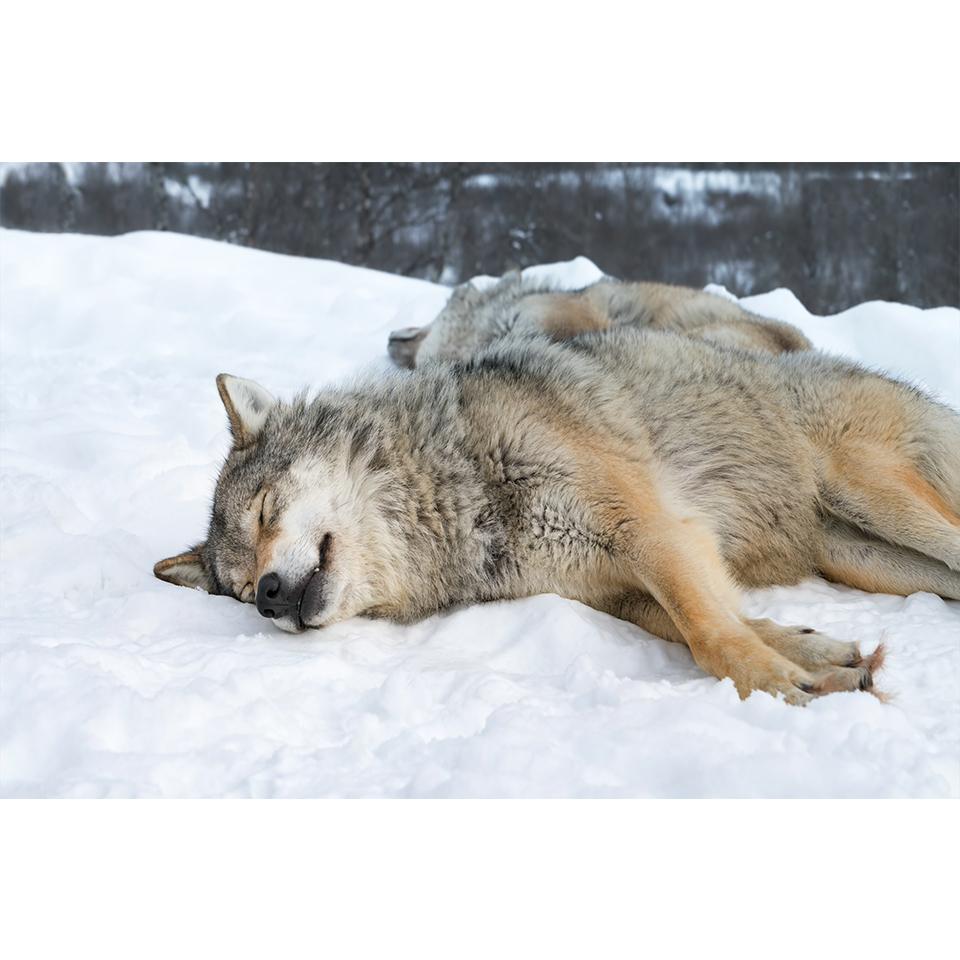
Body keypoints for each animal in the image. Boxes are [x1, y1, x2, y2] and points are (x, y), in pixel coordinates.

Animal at [155, 322, 960, 705]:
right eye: (236, 590)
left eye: (265, 513)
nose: (268, 598)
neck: (461, 493)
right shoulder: (622, 590)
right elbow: (719, 624)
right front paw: (821, 659)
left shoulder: (652, 533)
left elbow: (711, 637)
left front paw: (779, 686)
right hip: (869, 560)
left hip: (879, 498)